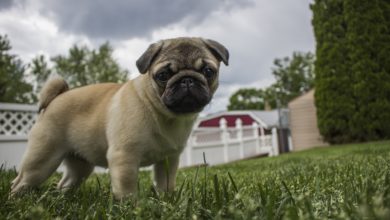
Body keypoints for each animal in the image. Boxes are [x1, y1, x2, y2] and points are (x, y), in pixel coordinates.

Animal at [9, 36, 229, 199]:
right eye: (163, 75)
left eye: (208, 71)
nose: (187, 80)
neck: (163, 113)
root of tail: (57, 97)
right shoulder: (125, 157)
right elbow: (127, 187)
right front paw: (130, 207)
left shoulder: (168, 159)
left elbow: (165, 183)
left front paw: (166, 200)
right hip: (42, 159)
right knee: (21, 181)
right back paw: (17, 199)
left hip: (80, 166)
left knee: (65, 182)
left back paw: (62, 199)